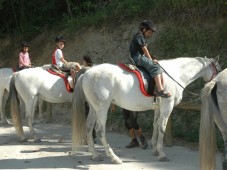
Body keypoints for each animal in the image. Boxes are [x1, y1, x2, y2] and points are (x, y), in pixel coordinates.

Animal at [71, 56, 220, 164]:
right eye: (218, 70)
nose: (215, 86)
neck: (176, 74)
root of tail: (86, 73)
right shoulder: (167, 106)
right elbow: (162, 127)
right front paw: (161, 154)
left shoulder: (158, 107)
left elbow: (156, 125)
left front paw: (155, 149)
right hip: (102, 107)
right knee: (100, 130)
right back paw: (114, 157)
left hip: (93, 107)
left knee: (89, 127)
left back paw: (95, 155)